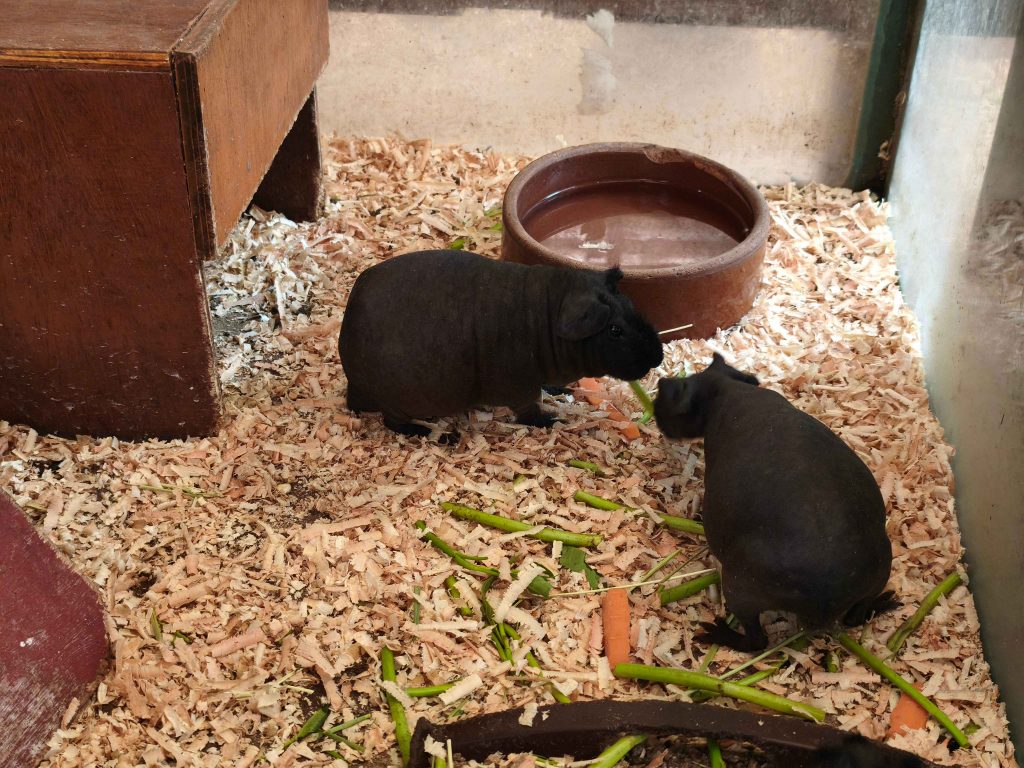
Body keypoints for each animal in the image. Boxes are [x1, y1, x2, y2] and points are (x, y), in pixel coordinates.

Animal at [338, 249, 663, 437]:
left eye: (630, 305)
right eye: (615, 330)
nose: (657, 357)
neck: (543, 323)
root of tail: (353, 386)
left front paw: (564, 391)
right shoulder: (520, 390)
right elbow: (531, 412)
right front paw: (554, 420)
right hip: (400, 404)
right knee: (393, 424)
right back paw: (443, 436)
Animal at [654, 353, 894, 651]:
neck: (728, 390)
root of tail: (824, 603)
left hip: (739, 589)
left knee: (757, 640)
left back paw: (716, 632)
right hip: (881, 569)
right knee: (856, 617)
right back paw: (885, 603)